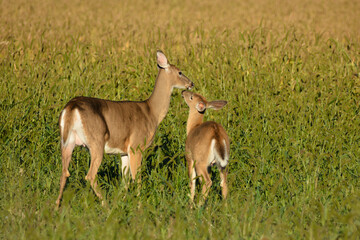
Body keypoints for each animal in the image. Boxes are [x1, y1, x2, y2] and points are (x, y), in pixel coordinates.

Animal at [55, 50, 194, 208]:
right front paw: (139, 204)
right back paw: (106, 205)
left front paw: (123, 201)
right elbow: (136, 177)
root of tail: (72, 107)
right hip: (96, 141)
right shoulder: (136, 146)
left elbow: (125, 179)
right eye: (180, 72)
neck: (152, 112)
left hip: (67, 141)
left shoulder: (124, 151)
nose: (191, 84)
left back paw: (56, 206)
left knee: (64, 172)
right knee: (90, 175)